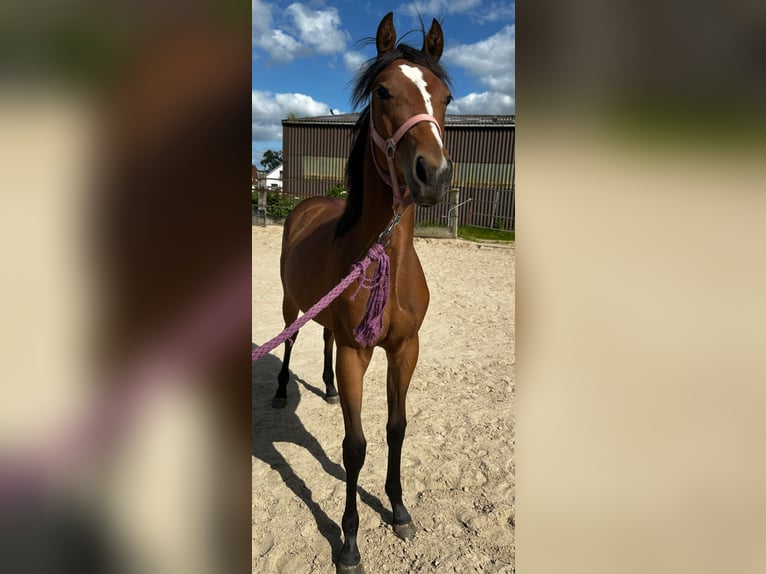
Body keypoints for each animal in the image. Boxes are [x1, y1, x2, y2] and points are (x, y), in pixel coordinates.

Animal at [272, 12, 453, 573]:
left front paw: (398, 510)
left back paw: (328, 390)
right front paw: (349, 541)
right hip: (292, 304)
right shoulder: (358, 351)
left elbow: (396, 428)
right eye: (382, 91)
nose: (433, 175)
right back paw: (281, 391)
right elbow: (354, 446)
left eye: (446, 96)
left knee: (324, 340)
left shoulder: (404, 348)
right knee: (290, 340)